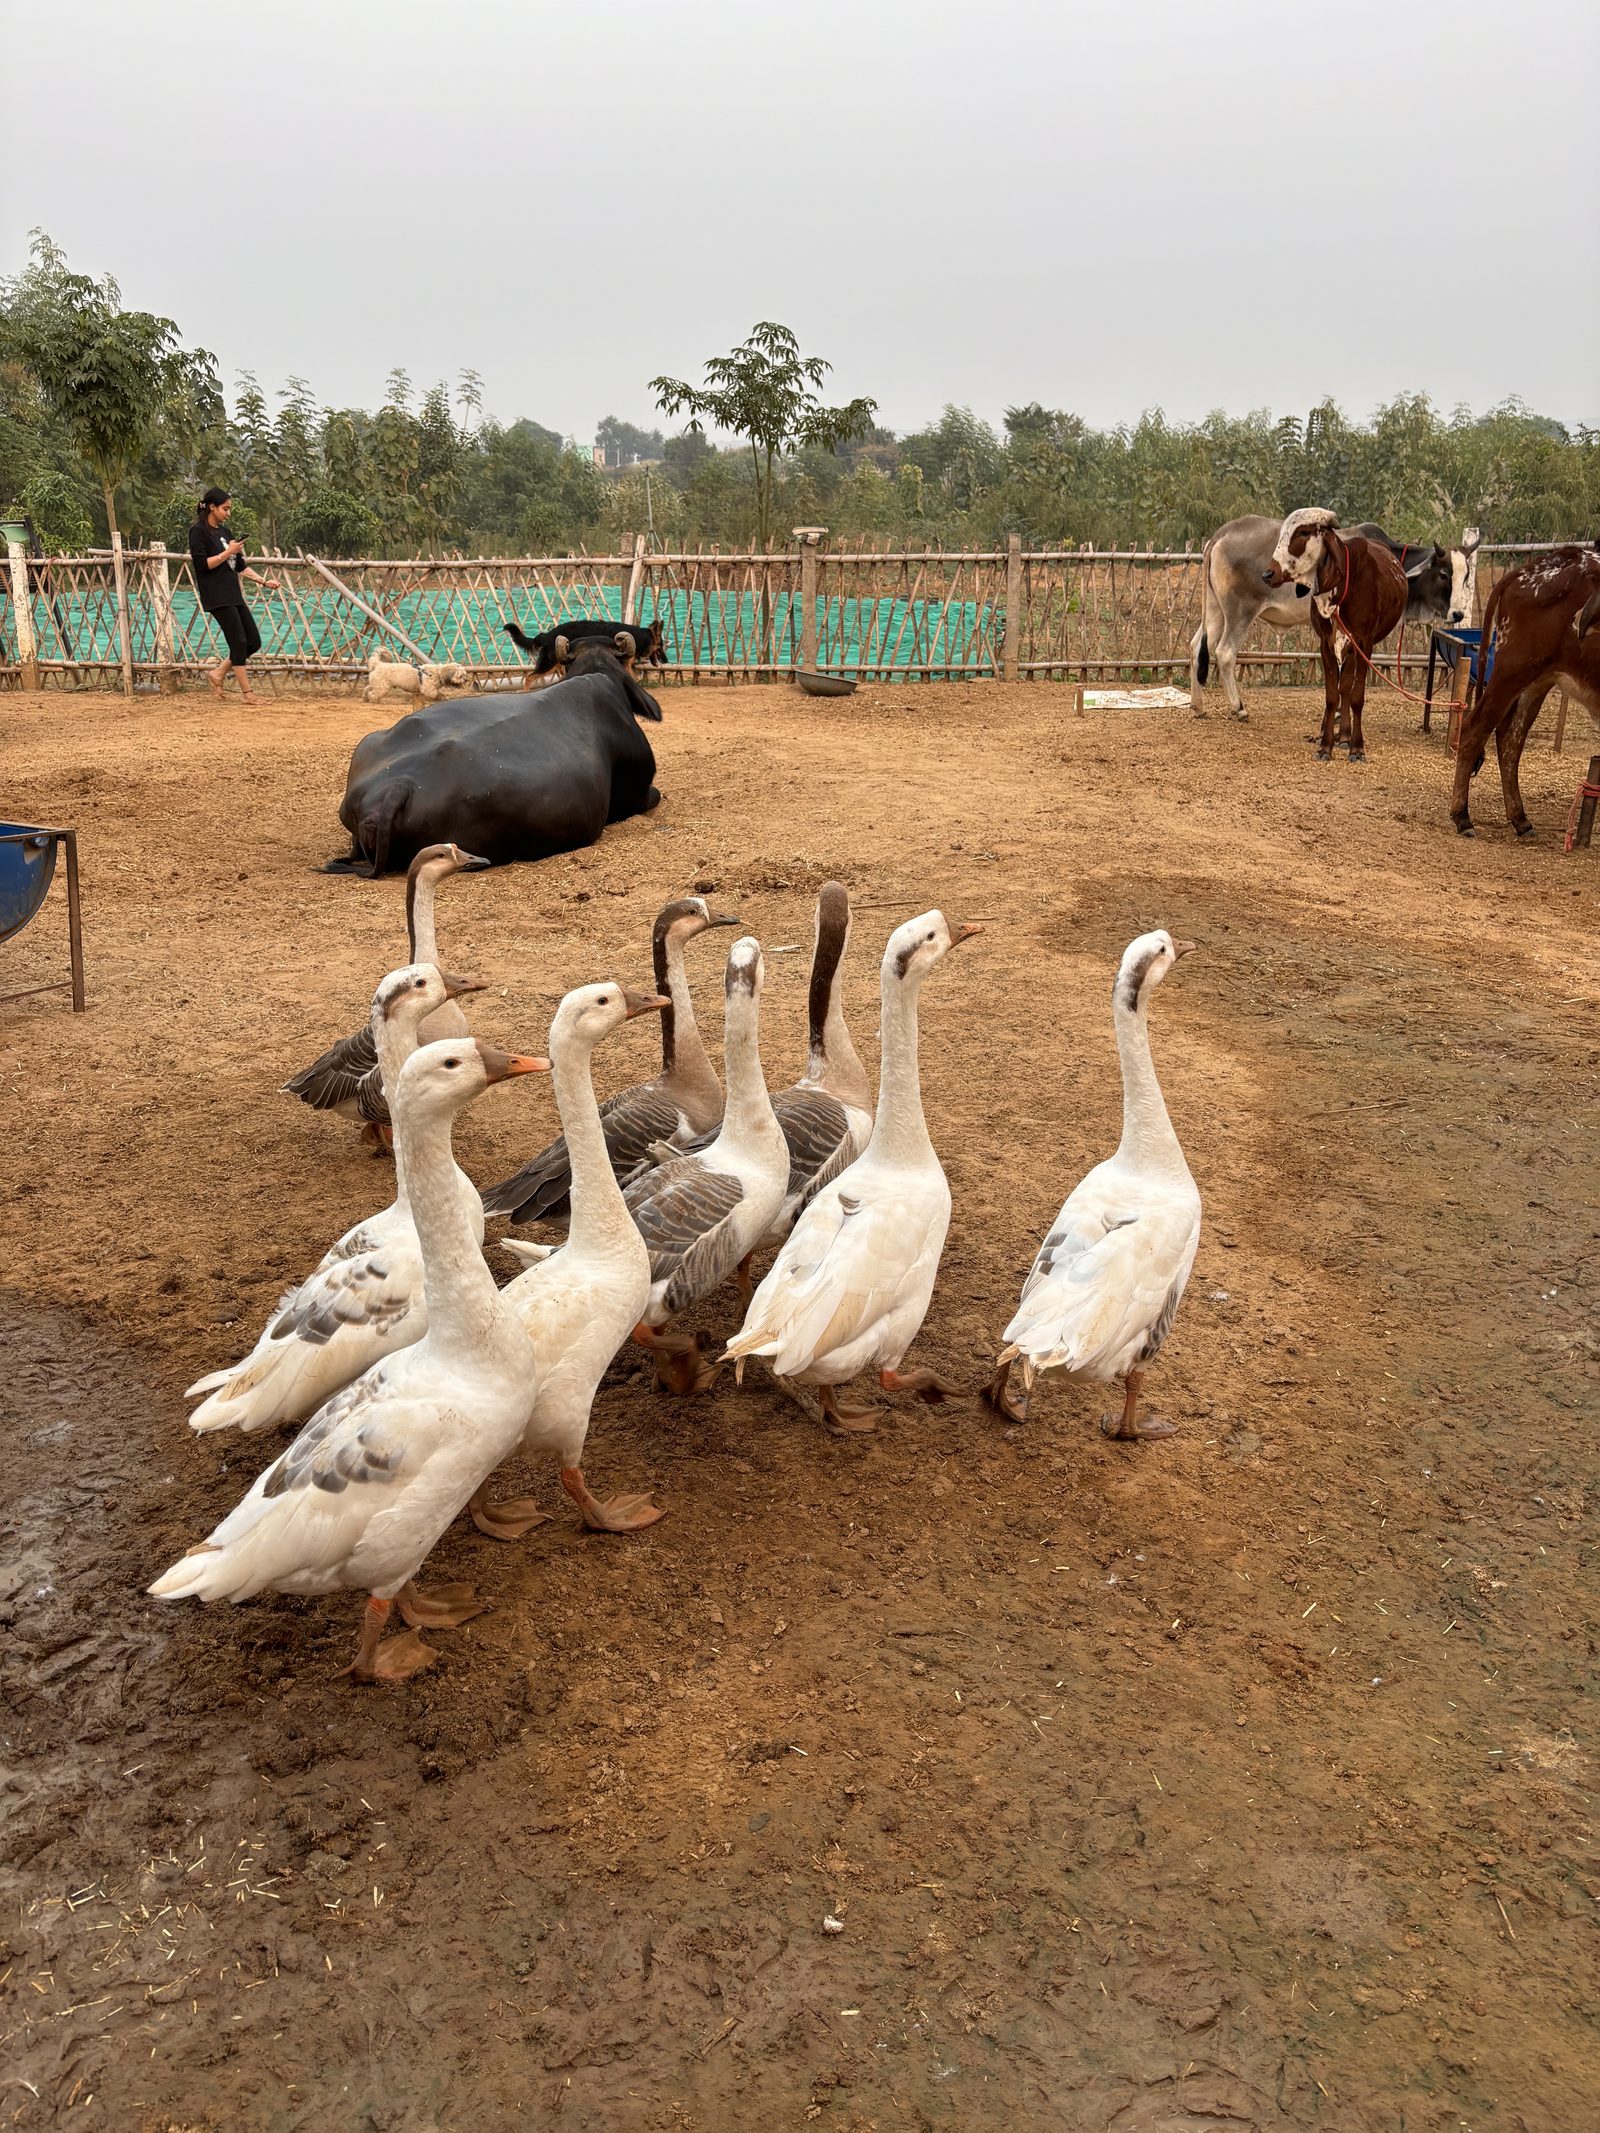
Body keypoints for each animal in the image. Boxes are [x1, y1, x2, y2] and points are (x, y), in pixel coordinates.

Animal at [503, 615, 666, 687]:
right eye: (662, 646)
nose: (666, 660)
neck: (640, 637)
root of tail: (547, 634)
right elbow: (634, 679)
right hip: (549, 663)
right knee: (529, 678)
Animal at [1190, 515, 1476, 719]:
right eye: (1443, 574)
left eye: (1466, 576)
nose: (1458, 613)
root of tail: (1222, 534)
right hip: (1240, 612)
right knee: (1225, 653)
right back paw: (1238, 708)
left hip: (1215, 610)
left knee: (1196, 647)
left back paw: (1198, 706)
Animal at [1262, 508, 1410, 761]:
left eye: (1303, 532)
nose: (1268, 573)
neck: (1341, 589)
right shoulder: (1326, 643)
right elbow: (1332, 696)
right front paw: (1325, 746)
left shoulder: (1364, 644)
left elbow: (1356, 696)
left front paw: (1357, 747)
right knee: (1342, 689)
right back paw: (1334, 734)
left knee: (1347, 689)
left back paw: (1345, 736)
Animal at [1447, 545, 1600, 838]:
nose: (1581, 621)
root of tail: (1525, 571)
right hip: (1513, 670)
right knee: (1476, 728)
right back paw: (1462, 815)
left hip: (1538, 681)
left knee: (1511, 740)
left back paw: (1519, 817)